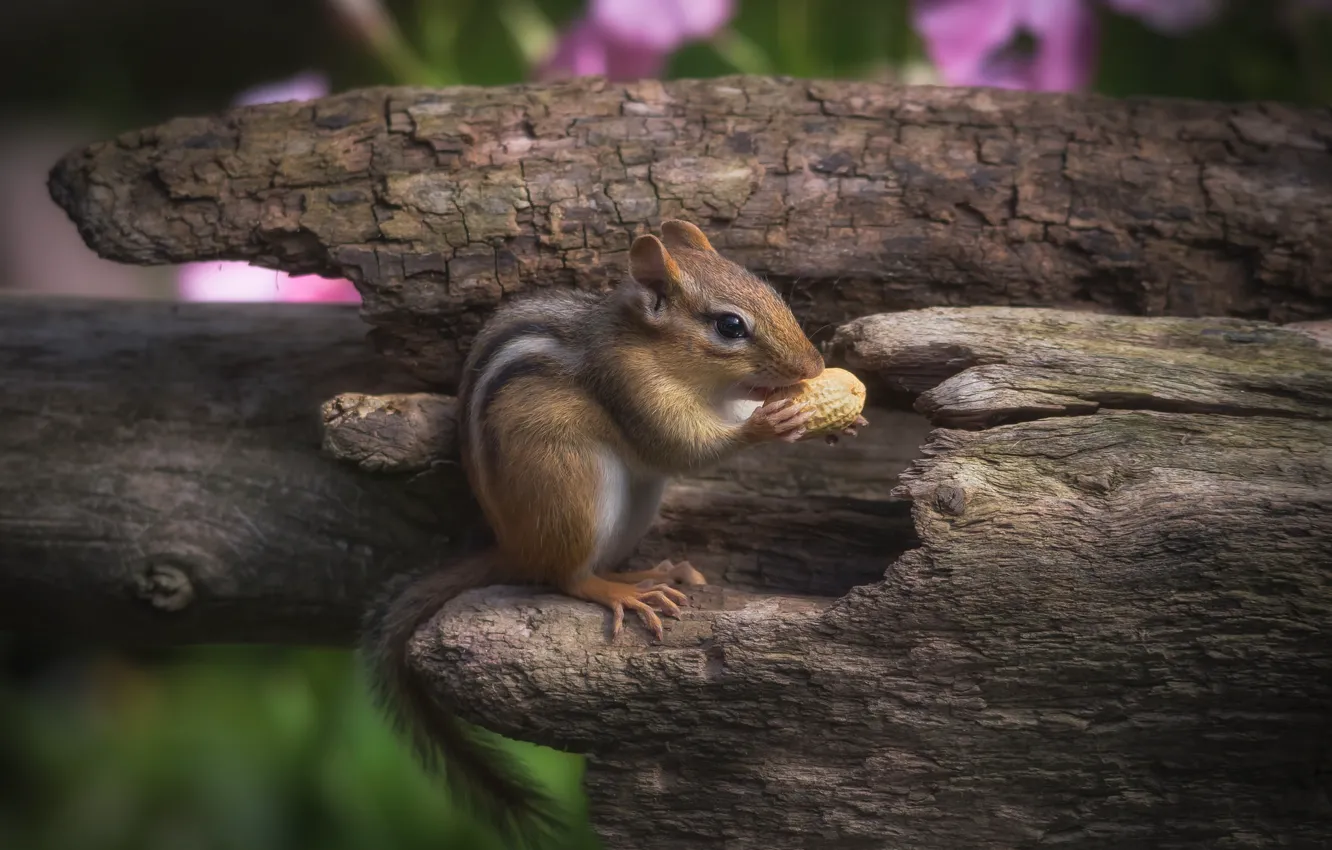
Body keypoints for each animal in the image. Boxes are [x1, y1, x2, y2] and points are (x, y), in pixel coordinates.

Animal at [361, 219, 860, 844]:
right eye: (729, 326)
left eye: (770, 290)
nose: (813, 368)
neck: (657, 351)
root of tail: (513, 545)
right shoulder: (632, 387)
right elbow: (683, 447)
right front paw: (769, 422)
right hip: (576, 486)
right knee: (567, 576)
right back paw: (621, 592)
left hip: (639, 500)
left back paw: (655, 571)